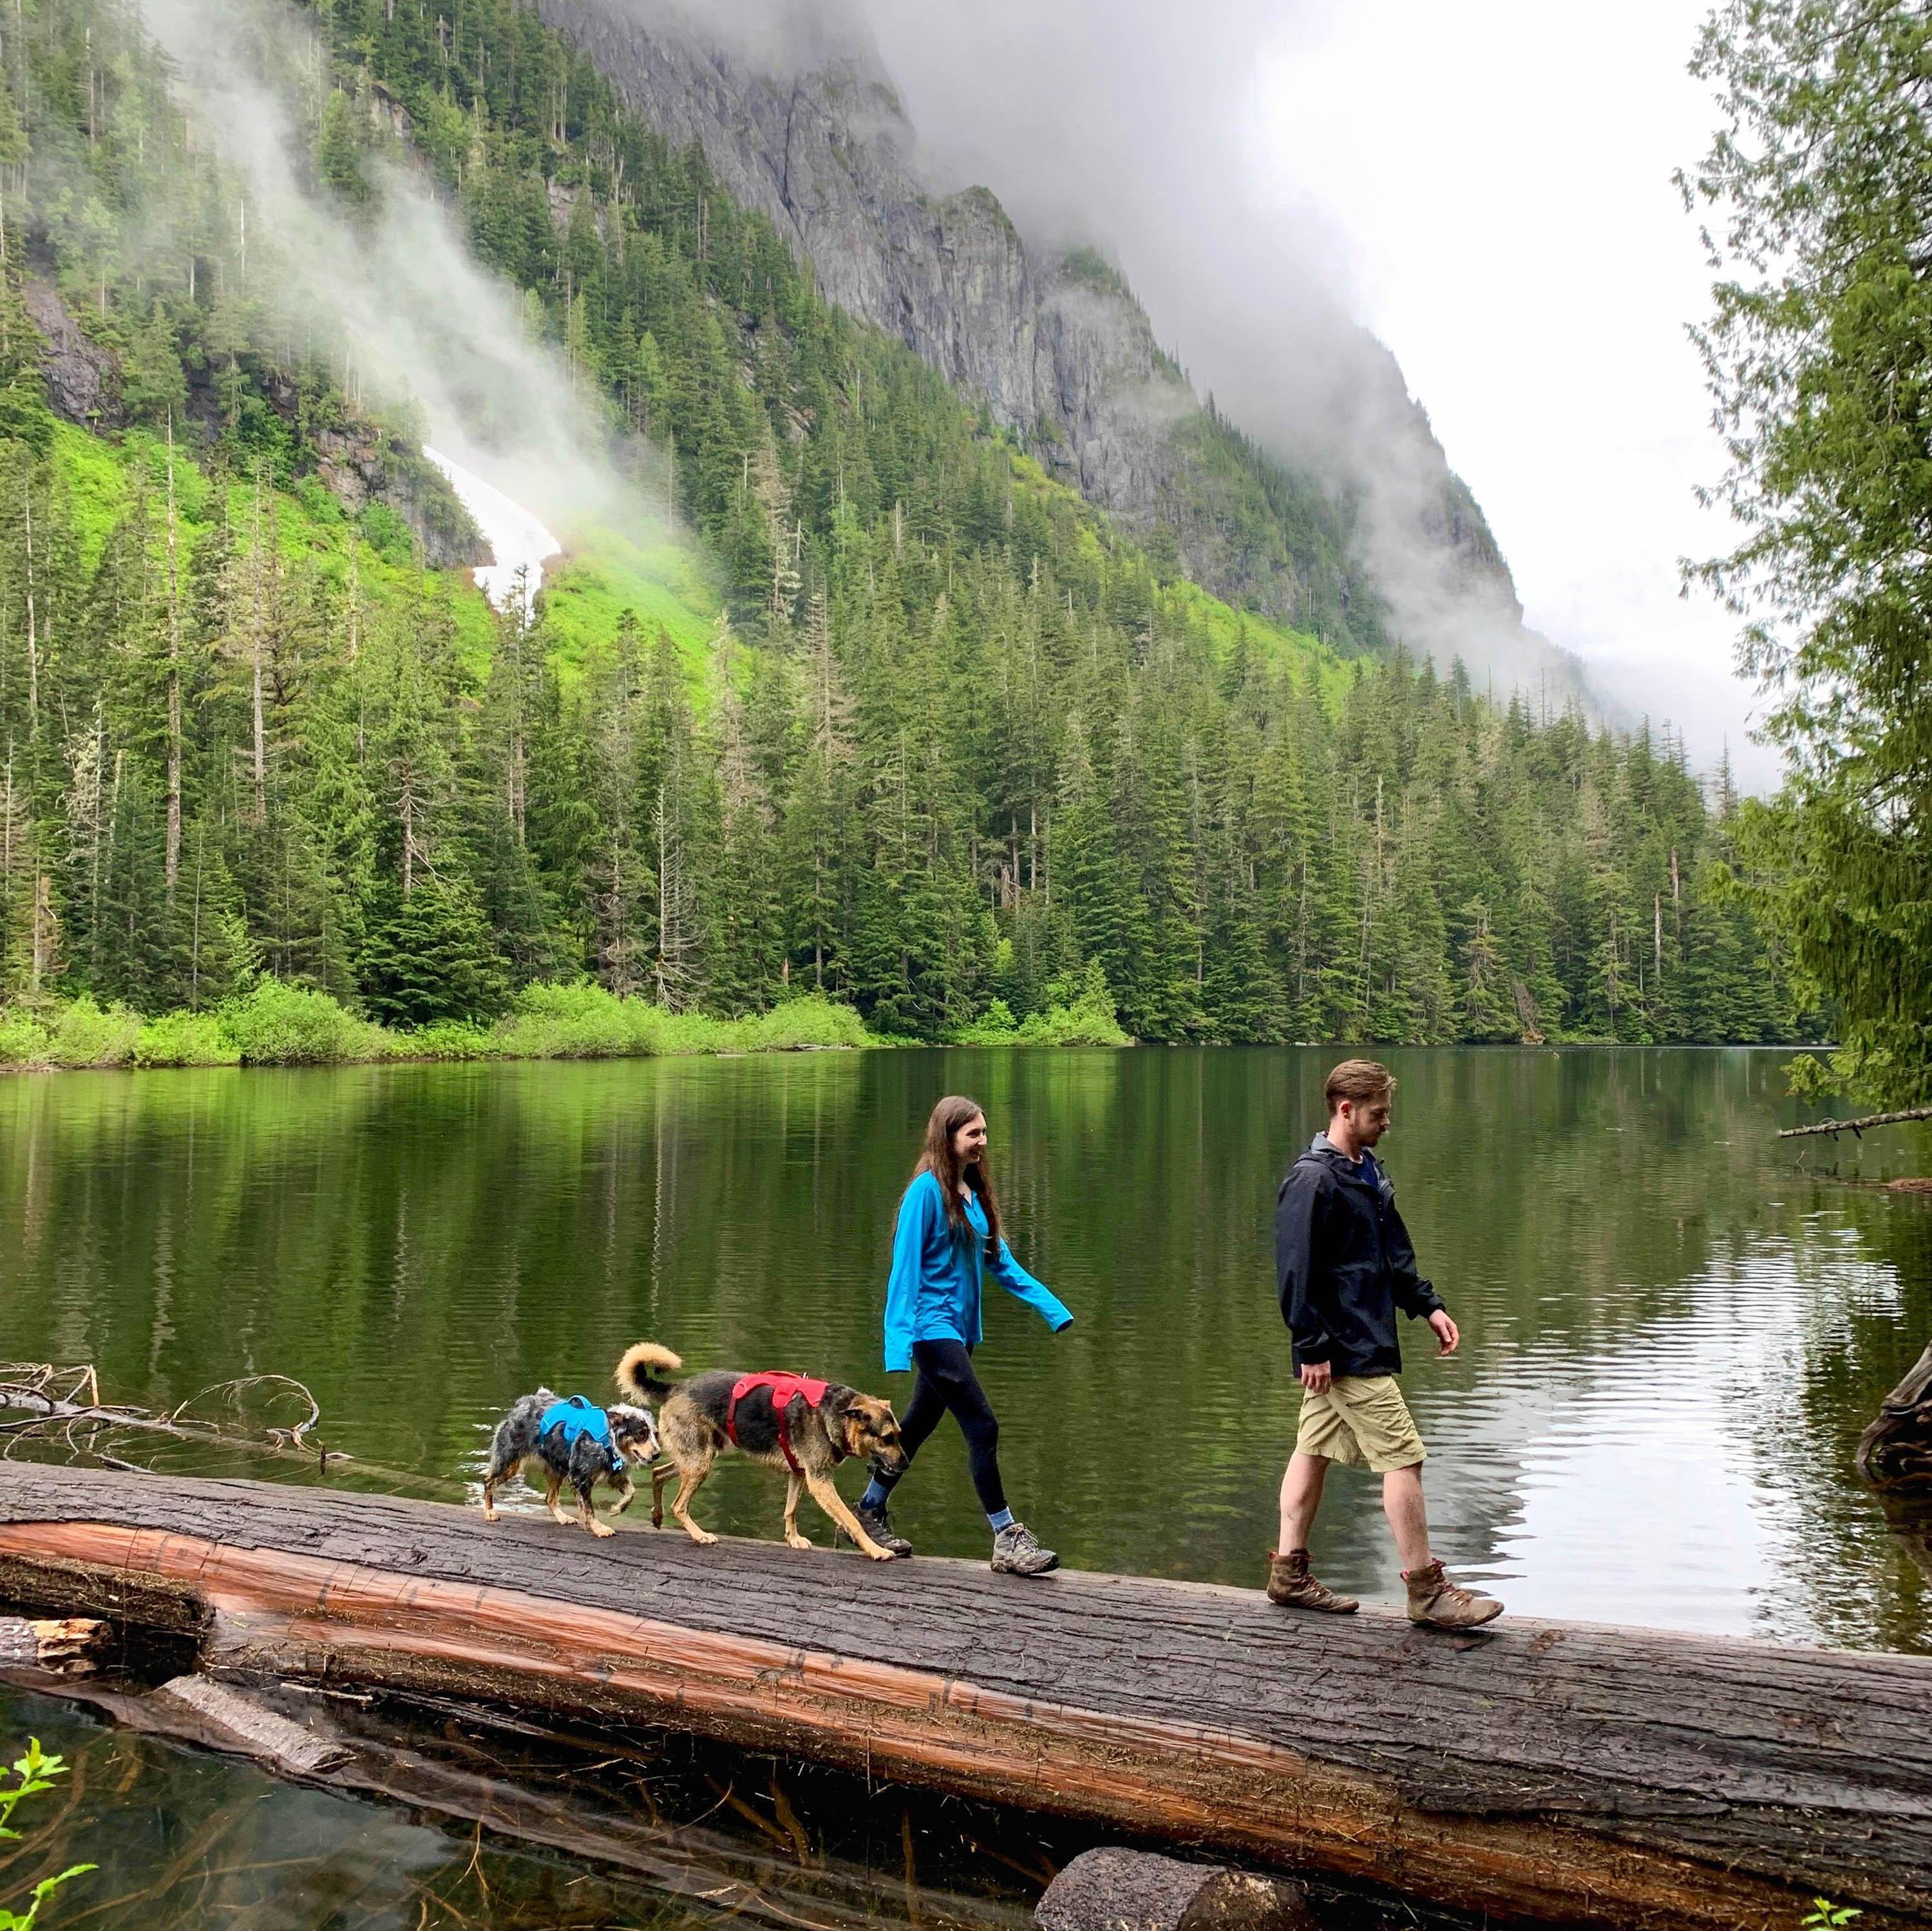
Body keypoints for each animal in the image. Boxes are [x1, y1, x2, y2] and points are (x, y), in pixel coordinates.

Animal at [618, 1352, 912, 1560]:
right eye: (887, 1438)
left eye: (899, 1434)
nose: (906, 1464)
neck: (834, 1413)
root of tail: (675, 1388)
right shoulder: (820, 1481)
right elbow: (851, 1520)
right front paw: (876, 1550)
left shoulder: (800, 1474)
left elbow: (790, 1510)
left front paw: (793, 1539)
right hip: (700, 1462)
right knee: (679, 1505)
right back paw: (700, 1535)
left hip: (697, 1458)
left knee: (658, 1473)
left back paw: (657, 1517)